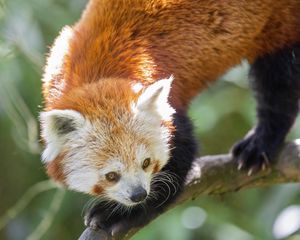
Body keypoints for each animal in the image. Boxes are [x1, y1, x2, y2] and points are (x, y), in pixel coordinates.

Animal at [39, 0, 300, 236]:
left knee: (279, 82)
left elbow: (177, 165)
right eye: (111, 175)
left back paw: (260, 142)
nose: (138, 194)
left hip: (280, 23)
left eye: (146, 162)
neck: (97, 76)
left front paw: (118, 214)